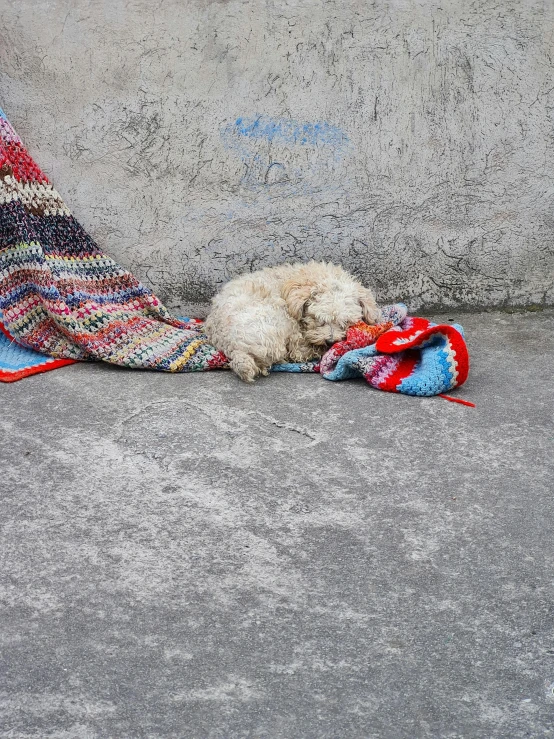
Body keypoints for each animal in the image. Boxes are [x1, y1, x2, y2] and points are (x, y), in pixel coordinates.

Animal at [203, 260, 380, 384]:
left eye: (346, 322)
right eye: (318, 319)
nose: (330, 342)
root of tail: (234, 347)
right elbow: (300, 351)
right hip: (277, 320)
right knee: (295, 353)